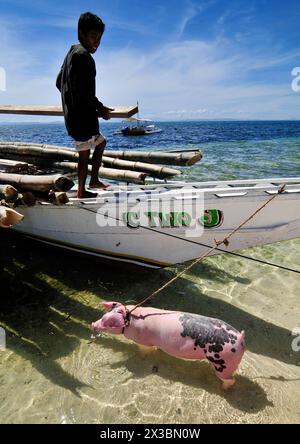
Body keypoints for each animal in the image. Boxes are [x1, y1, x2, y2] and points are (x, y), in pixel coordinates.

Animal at [90, 302, 245, 388]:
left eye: (108, 323)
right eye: (103, 316)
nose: (92, 324)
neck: (130, 319)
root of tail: (240, 337)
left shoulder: (144, 341)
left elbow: (144, 350)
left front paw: (141, 357)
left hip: (223, 363)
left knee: (231, 380)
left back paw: (223, 389)